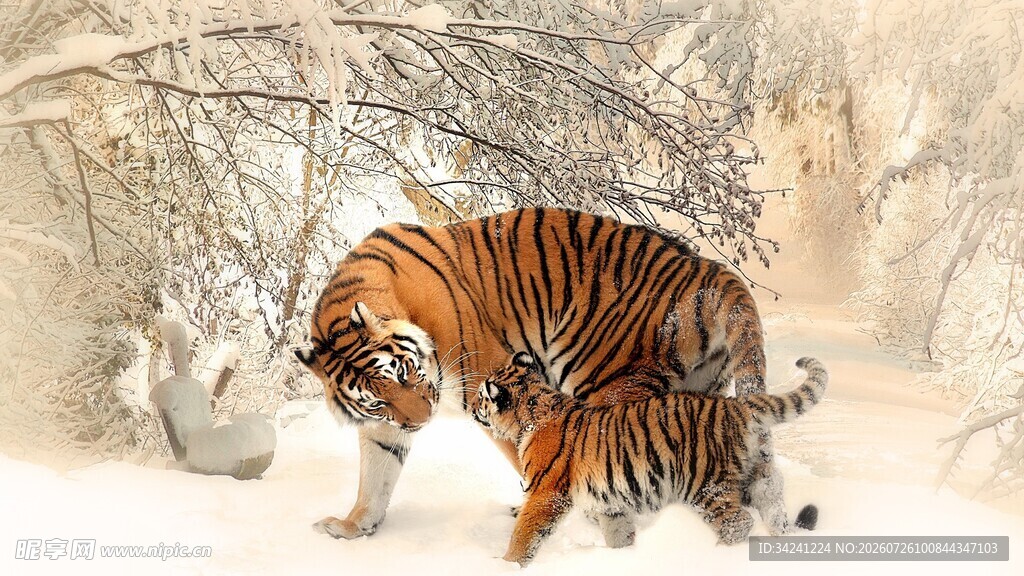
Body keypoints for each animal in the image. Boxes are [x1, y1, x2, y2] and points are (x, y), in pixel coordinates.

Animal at [294, 207, 791, 542]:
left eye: (403, 373)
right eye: (377, 399)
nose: (421, 421)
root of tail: (708, 269)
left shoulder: (490, 382)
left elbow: (532, 457)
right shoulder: (384, 425)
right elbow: (375, 475)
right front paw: (352, 526)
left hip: (609, 383)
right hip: (698, 393)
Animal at [473, 353, 828, 566]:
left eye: (481, 396)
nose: (473, 408)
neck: (533, 411)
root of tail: (735, 405)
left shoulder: (546, 493)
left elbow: (524, 533)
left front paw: (506, 564)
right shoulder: (609, 502)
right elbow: (618, 532)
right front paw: (624, 558)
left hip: (705, 484)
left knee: (738, 522)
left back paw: (718, 557)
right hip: (757, 476)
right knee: (773, 508)